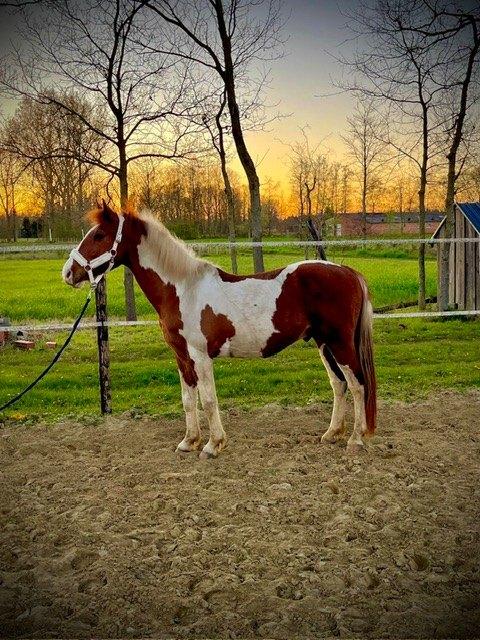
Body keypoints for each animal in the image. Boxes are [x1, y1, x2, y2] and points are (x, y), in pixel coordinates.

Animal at [62, 201, 376, 459]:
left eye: (99, 235)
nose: (68, 273)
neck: (182, 289)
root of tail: (349, 272)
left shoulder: (200, 356)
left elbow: (209, 400)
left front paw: (213, 445)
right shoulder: (182, 357)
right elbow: (188, 400)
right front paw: (189, 442)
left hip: (340, 344)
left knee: (358, 385)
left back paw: (356, 439)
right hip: (323, 343)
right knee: (339, 384)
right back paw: (332, 434)